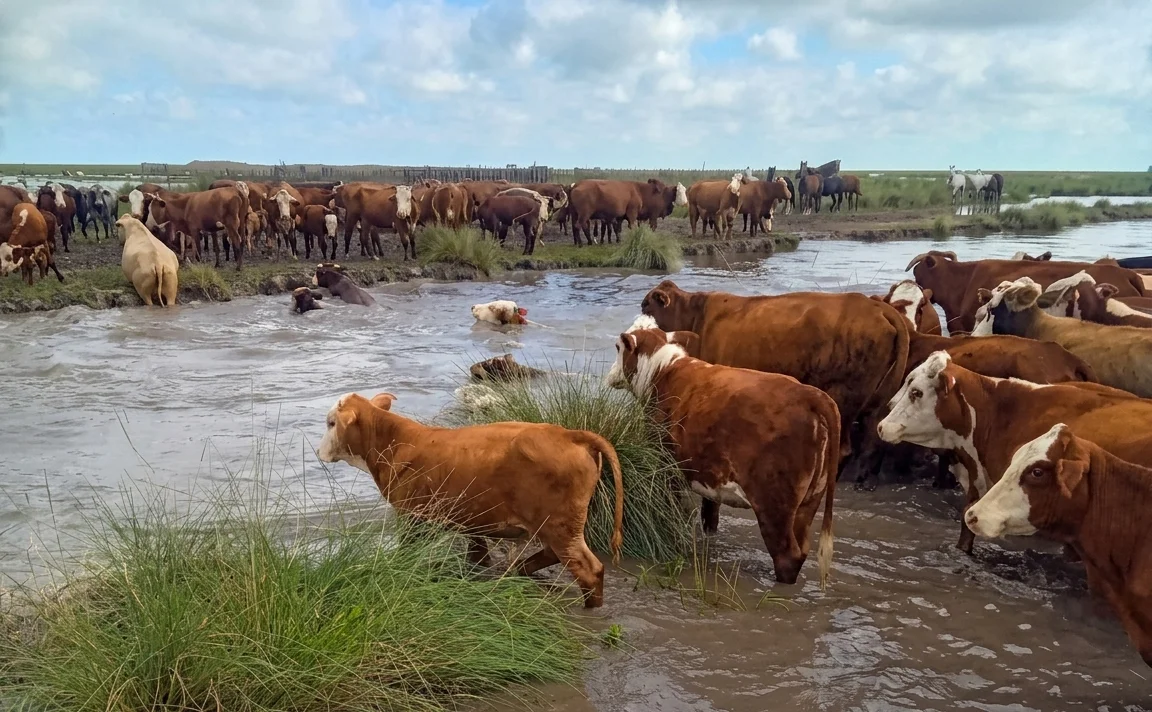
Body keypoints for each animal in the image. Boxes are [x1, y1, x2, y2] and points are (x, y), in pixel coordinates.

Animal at [317, 391, 624, 607]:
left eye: (331, 423)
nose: (318, 452)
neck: (394, 442)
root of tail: (569, 434)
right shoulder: (472, 519)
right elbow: (477, 552)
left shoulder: (412, 517)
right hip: (556, 526)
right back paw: (520, 570)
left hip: (559, 525)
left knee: (589, 570)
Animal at [607, 318, 838, 587]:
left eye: (617, 348)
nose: (611, 374)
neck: (663, 371)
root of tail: (809, 393)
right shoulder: (710, 474)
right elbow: (710, 516)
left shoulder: (665, 467)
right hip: (810, 500)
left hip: (775, 504)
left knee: (787, 554)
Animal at [640, 280, 910, 481]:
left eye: (646, 306)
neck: (696, 316)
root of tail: (875, 306)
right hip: (874, 403)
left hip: (844, 398)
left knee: (843, 450)